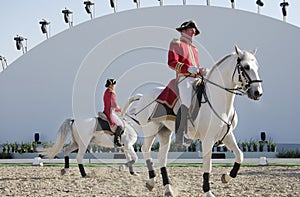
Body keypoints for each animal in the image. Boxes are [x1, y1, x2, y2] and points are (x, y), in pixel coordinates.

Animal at [127, 45, 264, 196]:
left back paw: (168, 188)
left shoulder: (227, 135)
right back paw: (151, 181)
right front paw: (208, 192)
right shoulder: (207, 139)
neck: (218, 100)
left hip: (164, 132)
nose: (258, 93)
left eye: (256, 67)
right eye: (246, 67)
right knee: (145, 149)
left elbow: (240, 155)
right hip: (151, 130)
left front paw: (226, 177)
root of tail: (144, 97)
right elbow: (207, 165)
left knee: (162, 158)